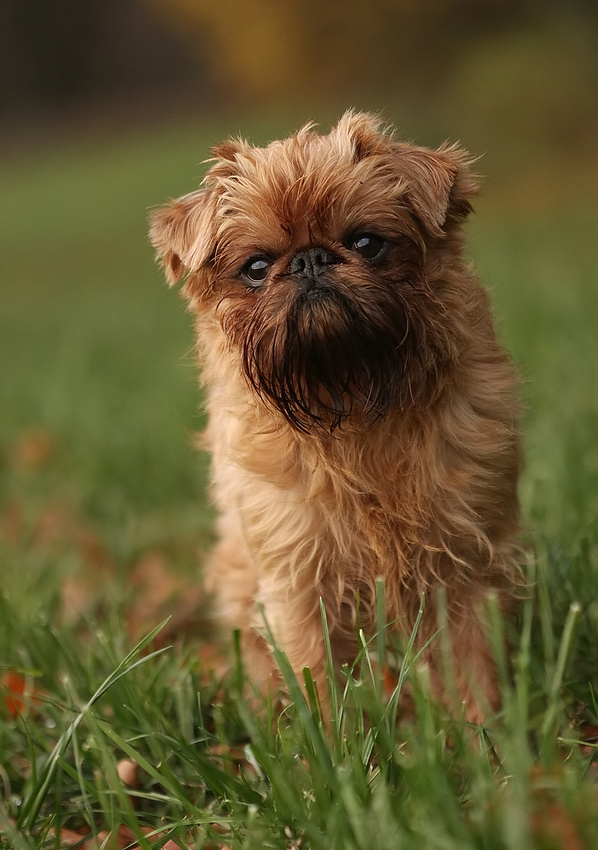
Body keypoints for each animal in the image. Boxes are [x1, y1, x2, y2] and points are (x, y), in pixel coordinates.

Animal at [149, 111, 520, 724]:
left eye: (367, 243)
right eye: (256, 267)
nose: (310, 260)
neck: (352, 401)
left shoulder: (464, 566)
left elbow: (474, 669)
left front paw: (487, 738)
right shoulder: (300, 583)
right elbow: (317, 681)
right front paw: (332, 743)